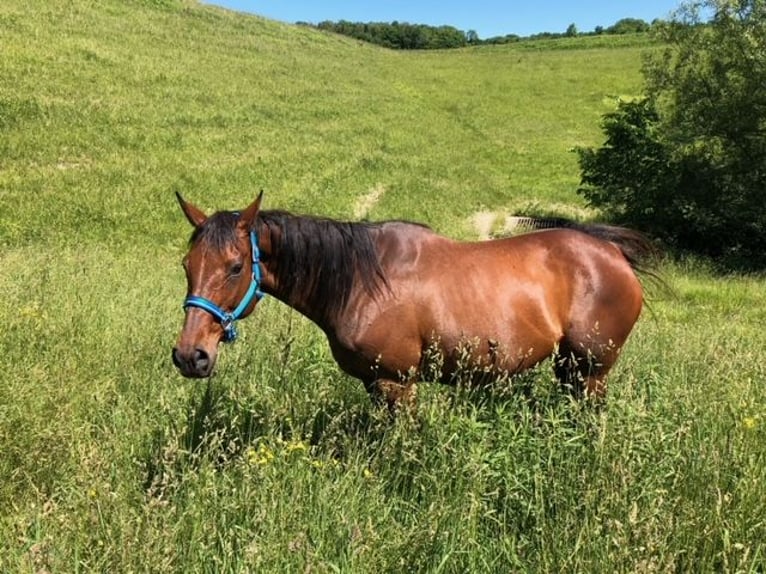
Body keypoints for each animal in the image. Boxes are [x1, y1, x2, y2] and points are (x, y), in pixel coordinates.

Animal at [174, 194, 660, 410]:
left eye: (235, 266)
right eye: (186, 264)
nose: (190, 356)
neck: (362, 280)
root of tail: (611, 252)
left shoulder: (397, 382)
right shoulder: (374, 384)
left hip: (591, 372)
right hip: (568, 367)